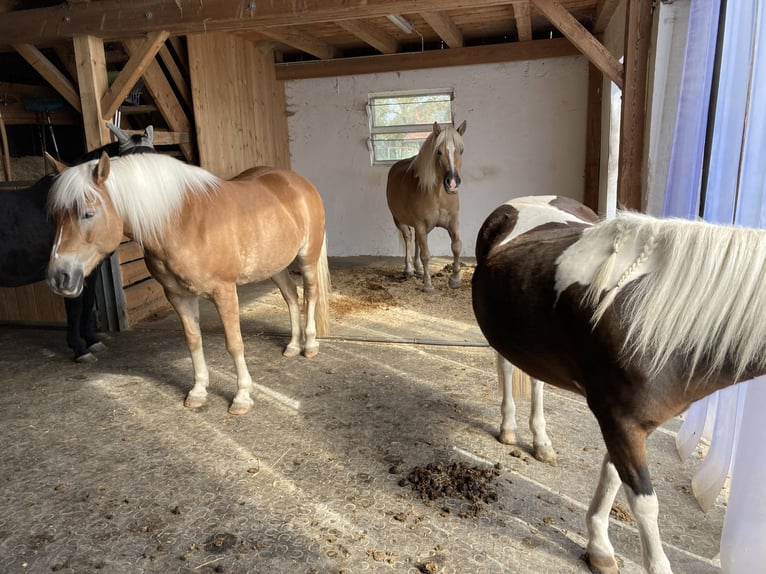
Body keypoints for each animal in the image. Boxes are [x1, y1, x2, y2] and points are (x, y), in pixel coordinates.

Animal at [0, 124, 156, 362]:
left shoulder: (90, 271)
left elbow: (87, 303)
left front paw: (92, 340)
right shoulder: (68, 271)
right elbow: (75, 307)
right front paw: (80, 348)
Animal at [47, 153, 330, 414]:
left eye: (88, 213)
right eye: (56, 218)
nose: (59, 277)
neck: (183, 222)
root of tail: (299, 182)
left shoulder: (224, 292)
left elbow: (234, 343)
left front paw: (241, 397)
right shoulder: (178, 296)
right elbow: (194, 341)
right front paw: (198, 392)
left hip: (307, 258)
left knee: (310, 295)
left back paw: (310, 346)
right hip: (275, 265)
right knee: (291, 296)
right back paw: (292, 346)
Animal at [384, 120, 468, 292]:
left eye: (461, 151)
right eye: (439, 152)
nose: (452, 183)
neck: (438, 194)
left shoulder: (452, 221)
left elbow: (456, 246)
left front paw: (455, 279)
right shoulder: (420, 224)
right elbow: (426, 255)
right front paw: (428, 284)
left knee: (416, 241)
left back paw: (418, 269)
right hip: (400, 221)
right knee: (409, 238)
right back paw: (409, 269)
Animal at [474, 196, 766, 572]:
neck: (653, 315)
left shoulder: (630, 424)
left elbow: (613, 475)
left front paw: (599, 545)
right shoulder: (621, 421)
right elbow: (643, 502)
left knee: (536, 380)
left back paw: (541, 442)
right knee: (507, 369)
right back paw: (508, 428)